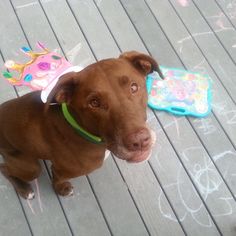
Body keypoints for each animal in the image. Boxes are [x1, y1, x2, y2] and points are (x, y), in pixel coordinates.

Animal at [0, 51, 162, 199]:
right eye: (94, 103)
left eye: (134, 87)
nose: (140, 141)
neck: (79, 128)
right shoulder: (60, 170)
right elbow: (58, 179)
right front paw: (61, 189)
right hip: (30, 167)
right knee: (5, 169)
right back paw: (24, 190)